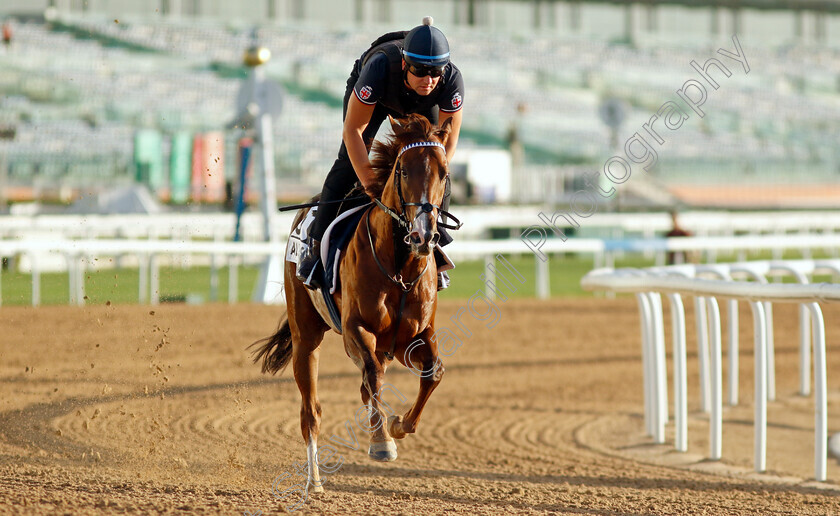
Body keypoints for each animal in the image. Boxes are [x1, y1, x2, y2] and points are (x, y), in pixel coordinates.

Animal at [249, 114, 456, 496]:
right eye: (403, 171)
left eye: (444, 172)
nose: (423, 235)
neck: (399, 266)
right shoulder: (355, 329)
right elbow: (372, 374)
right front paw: (382, 442)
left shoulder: (413, 336)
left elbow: (433, 372)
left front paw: (398, 425)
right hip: (306, 338)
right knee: (311, 411)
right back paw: (314, 480)